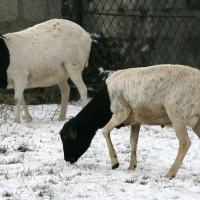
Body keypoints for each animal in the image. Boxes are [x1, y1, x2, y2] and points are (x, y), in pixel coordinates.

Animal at [59, 64, 200, 178]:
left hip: (176, 113)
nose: (67, 159)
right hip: (195, 121)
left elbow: (105, 131)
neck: (104, 102)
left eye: (66, 138)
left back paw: (170, 174)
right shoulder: (136, 121)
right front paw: (131, 166)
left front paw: (115, 162)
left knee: (185, 142)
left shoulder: (121, 112)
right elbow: (133, 141)